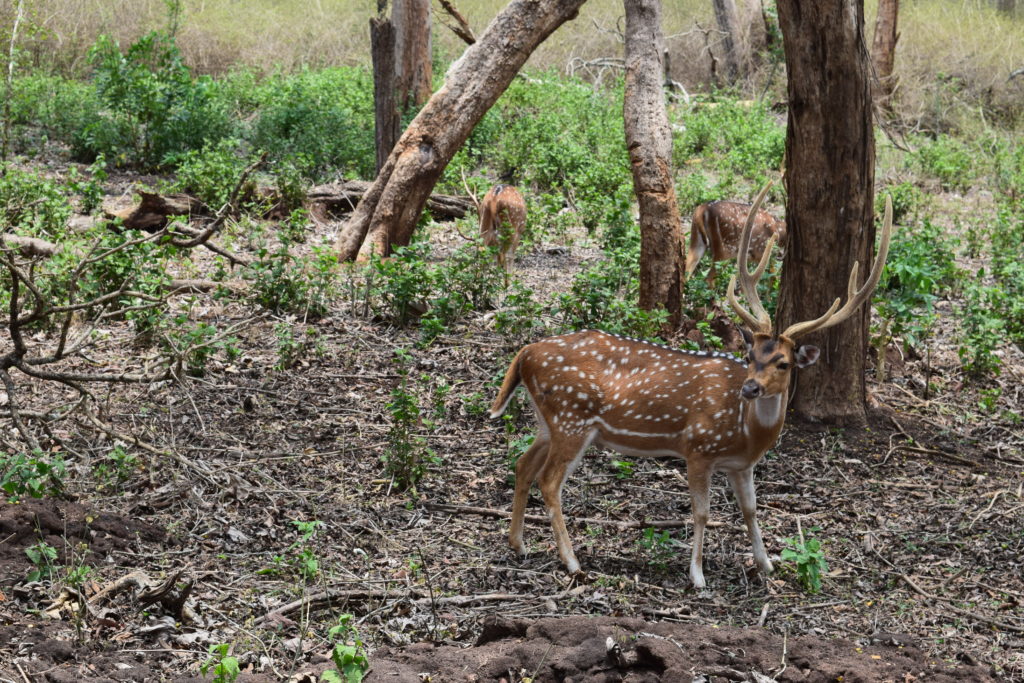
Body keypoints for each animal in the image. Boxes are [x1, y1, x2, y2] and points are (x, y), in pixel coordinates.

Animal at [491, 187, 892, 589]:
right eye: (750, 355)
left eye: (783, 363)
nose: (750, 388)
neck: (747, 432)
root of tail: (525, 354)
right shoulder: (698, 447)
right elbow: (702, 512)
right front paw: (698, 575)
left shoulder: (741, 465)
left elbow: (750, 509)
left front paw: (767, 564)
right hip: (572, 418)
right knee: (549, 481)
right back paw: (572, 562)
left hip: (548, 421)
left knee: (522, 465)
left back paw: (518, 544)